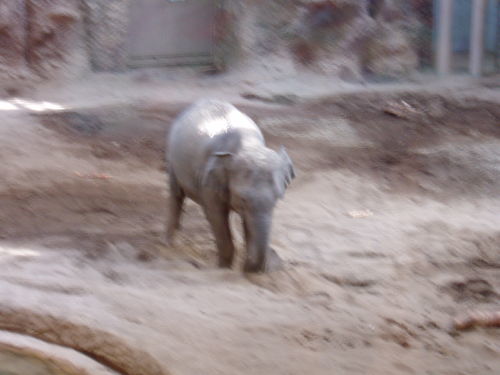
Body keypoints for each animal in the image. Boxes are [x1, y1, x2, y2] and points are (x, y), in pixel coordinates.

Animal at [166, 98, 294, 272]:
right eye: (244, 199)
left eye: (277, 199)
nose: (252, 266)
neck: (248, 145)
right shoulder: (209, 181)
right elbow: (216, 216)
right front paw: (224, 267)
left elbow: (245, 221)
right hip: (172, 159)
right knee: (176, 195)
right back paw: (169, 244)